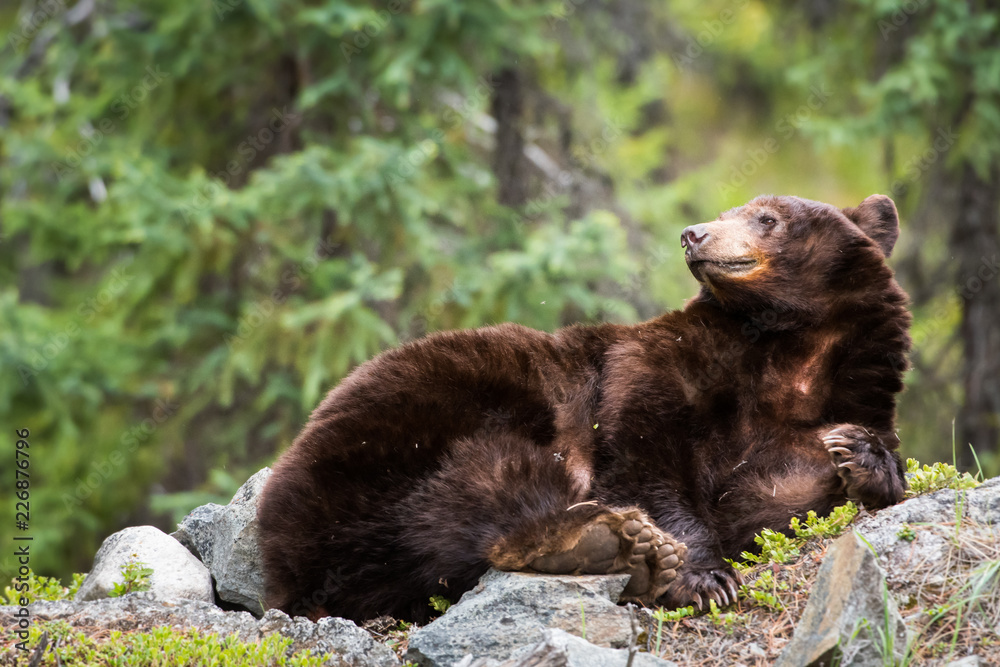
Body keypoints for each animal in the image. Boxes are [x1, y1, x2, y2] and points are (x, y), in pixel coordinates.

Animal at [257, 193, 910, 623]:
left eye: (766, 217)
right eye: (731, 210)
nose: (694, 233)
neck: (784, 352)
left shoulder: (818, 407)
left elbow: (777, 492)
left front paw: (859, 457)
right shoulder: (652, 368)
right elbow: (645, 454)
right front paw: (705, 577)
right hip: (411, 426)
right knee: (477, 483)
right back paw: (606, 540)